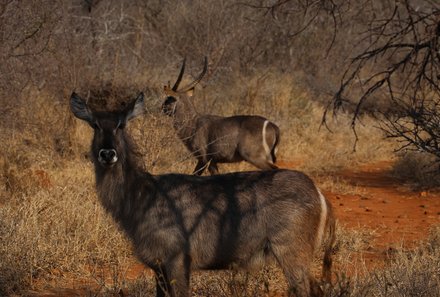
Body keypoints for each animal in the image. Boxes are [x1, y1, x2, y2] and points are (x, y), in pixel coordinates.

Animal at [70, 91, 336, 294]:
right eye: (94, 124)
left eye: (121, 124)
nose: (107, 154)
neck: (142, 195)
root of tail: (319, 192)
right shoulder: (157, 266)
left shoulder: (177, 260)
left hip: (291, 252)